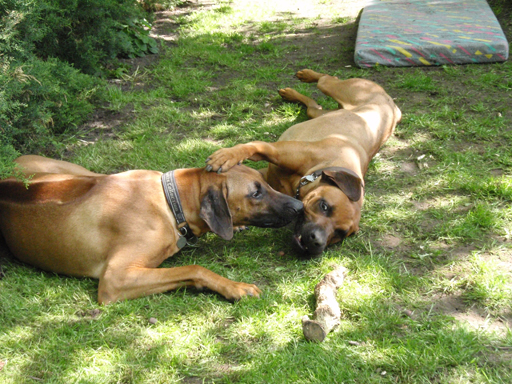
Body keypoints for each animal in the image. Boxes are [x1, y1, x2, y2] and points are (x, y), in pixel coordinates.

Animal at [0, 155, 304, 304]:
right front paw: (235, 287)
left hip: (83, 173)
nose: (300, 206)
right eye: (255, 193)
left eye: (265, 184)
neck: (170, 201)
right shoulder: (115, 279)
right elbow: (194, 269)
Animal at [206, 69, 402, 258]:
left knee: (314, 105)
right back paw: (306, 76)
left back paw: (291, 92)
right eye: (324, 206)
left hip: (319, 113)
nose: (317, 242)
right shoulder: (274, 152)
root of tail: (393, 106)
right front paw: (226, 156)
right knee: (326, 77)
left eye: (339, 233)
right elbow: (252, 147)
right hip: (339, 88)